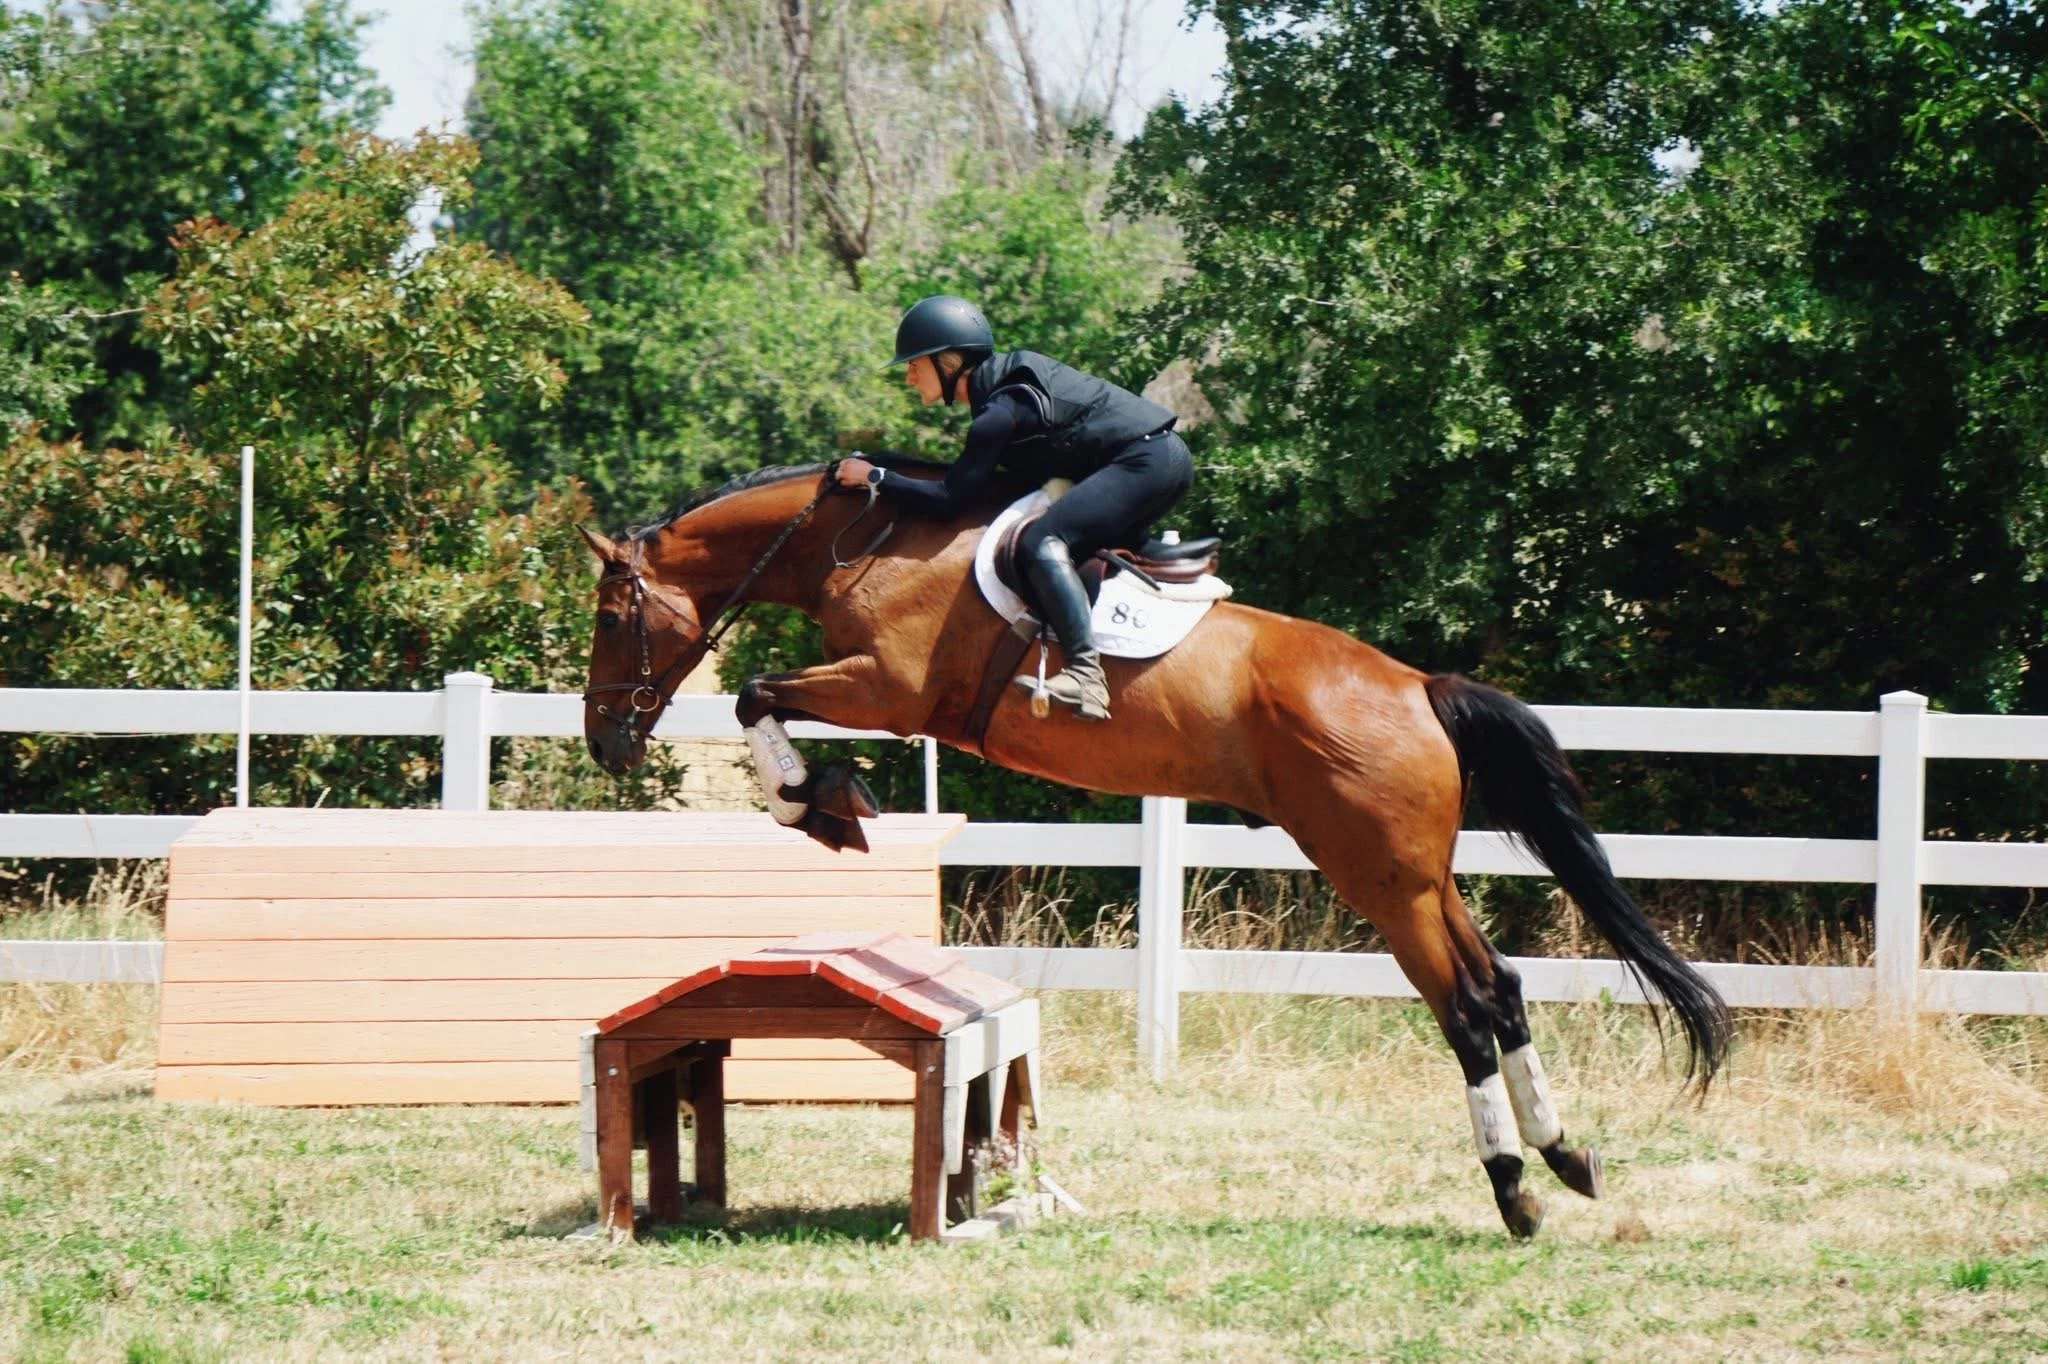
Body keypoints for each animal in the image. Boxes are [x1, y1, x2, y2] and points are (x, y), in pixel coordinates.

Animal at [578, 460, 1732, 1238]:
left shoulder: (886, 688)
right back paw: (1564, 1155)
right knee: (1499, 986)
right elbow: (759, 696)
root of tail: (1416, 687)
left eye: (609, 617)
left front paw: (816, 802)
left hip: (1378, 879)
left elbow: (752, 692)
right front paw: (822, 799)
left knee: (1462, 1007)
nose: (604, 740)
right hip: (1417, 873)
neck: (860, 539)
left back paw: (1514, 1190)